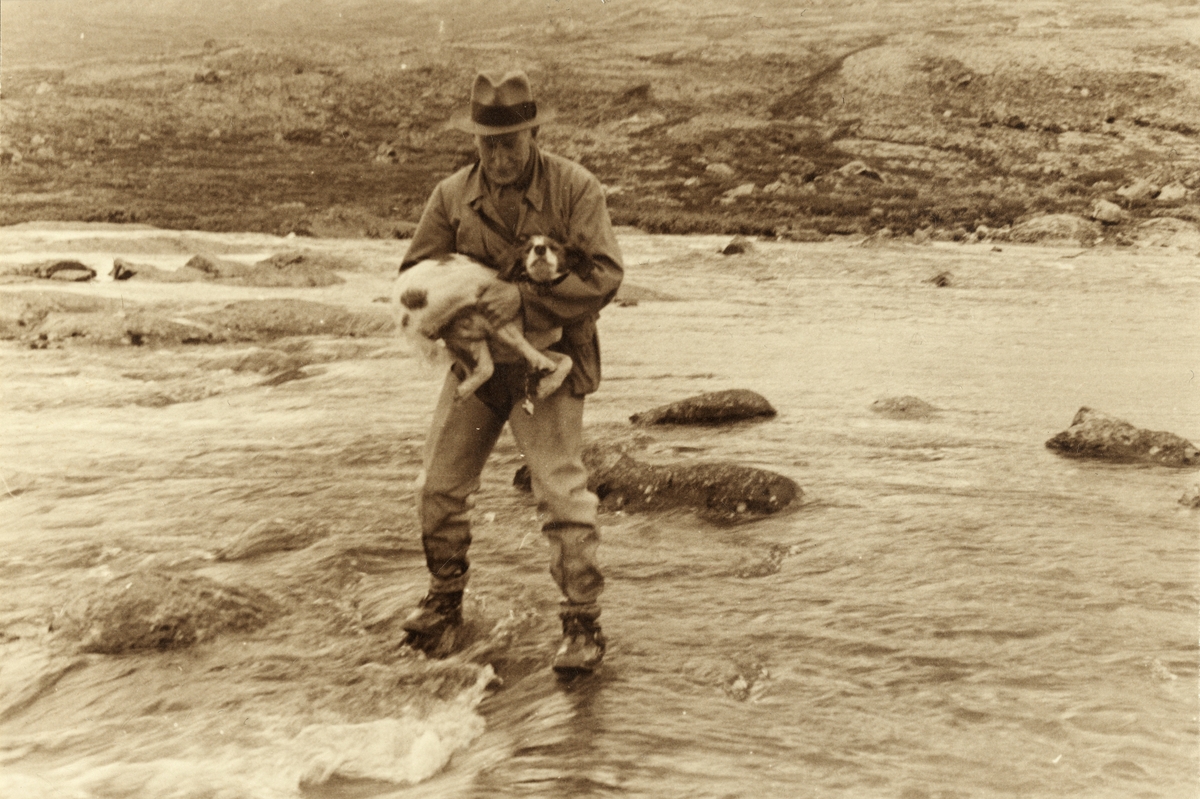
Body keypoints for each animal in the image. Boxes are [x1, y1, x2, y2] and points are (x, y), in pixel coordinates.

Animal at [396, 235, 592, 410]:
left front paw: (548, 385)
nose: (539, 249)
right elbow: (519, 341)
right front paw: (543, 364)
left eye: (554, 247)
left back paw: (465, 389)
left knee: (485, 367)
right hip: (471, 284)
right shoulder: (491, 318)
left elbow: (567, 359)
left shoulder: (521, 349)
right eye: (528, 249)